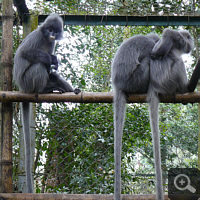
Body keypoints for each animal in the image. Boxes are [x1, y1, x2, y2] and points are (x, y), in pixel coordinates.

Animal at [13, 12, 80, 192]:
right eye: (49, 29)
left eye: (55, 31)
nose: (52, 34)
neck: (45, 38)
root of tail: (22, 88)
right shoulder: (36, 36)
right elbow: (25, 52)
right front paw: (52, 59)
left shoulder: (51, 43)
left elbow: (52, 70)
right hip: (28, 81)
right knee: (38, 64)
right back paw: (43, 89)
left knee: (53, 75)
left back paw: (66, 90)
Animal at [111, 28, 200, 200]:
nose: (190, 45)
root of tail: (117, 84)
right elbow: (163, 41)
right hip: (143, 79)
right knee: (159, 61)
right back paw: (186, 89)